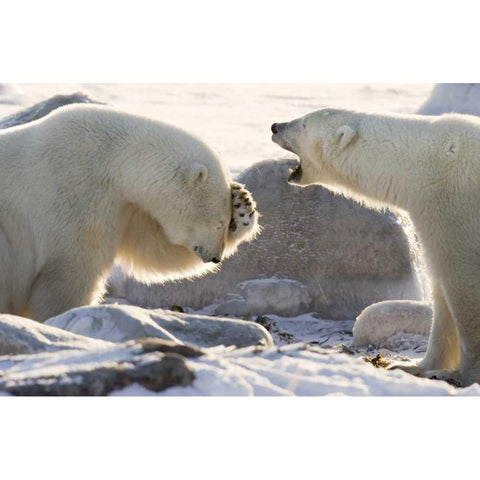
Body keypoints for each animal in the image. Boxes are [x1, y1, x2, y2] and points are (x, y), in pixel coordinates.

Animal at [0, 105, 258, 322]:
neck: (110, 159)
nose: (216, 257)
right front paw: (65, 316)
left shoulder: (125, 206)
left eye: (226, 223)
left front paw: (243, 205)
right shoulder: (74, 194)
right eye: (218, 223)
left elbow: (154, 249)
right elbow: (70, 271)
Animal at [272, 108, 480, 386]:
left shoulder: (455, 203)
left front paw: (464, 375)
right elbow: (442, 292)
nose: (275, 126)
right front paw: (416, 367)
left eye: (303, 124)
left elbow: (464, 283)